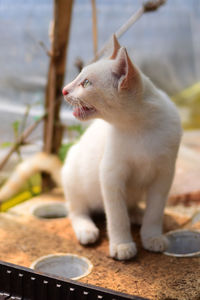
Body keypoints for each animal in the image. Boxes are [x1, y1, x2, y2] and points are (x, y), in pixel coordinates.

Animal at [61, 35, 182, 260]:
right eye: (79, 76)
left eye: (86, 82)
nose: (64, 90)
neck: (138, 127)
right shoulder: (111, 174)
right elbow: (117, 216)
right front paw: (122, 245)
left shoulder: (165, 174)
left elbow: (155, 211)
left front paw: (152, 236)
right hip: (72, 175)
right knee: (76, 210)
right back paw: (86, 229)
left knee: (132, 205)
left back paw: (137, 213)